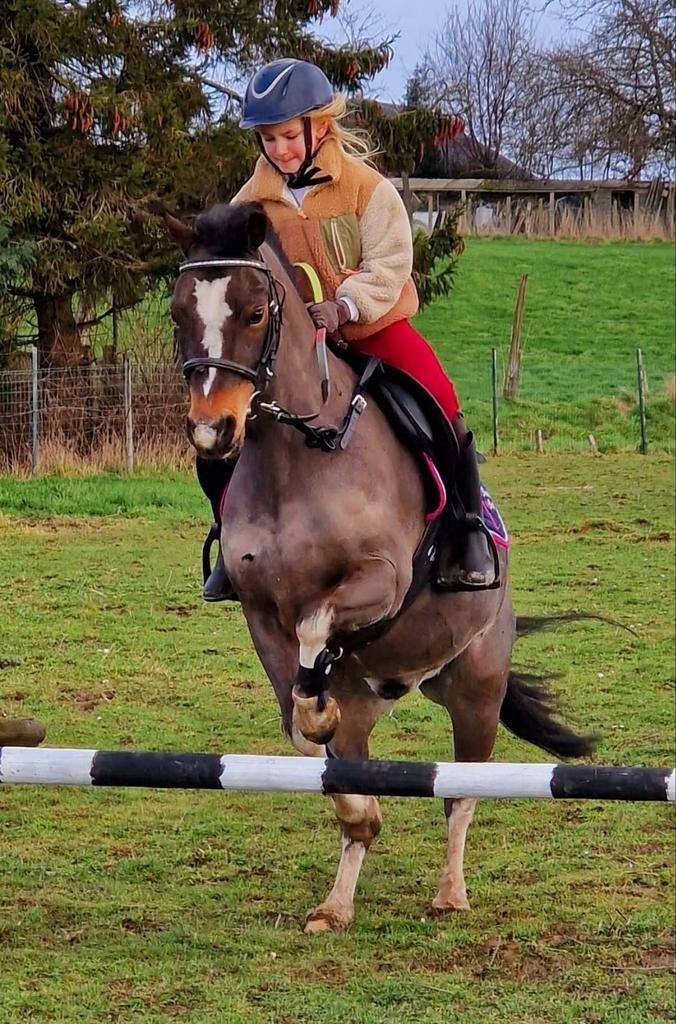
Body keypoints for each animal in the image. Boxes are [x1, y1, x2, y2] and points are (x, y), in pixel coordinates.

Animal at [159, 200, 594, 933]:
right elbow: (304, 731)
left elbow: (316, 627)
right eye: (177, 312)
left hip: (476, 688)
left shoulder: (381, 581)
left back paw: (450, 892)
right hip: (384, 692)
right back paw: (337, 902)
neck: (301, 454)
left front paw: (319, 710)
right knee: (357, 749)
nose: (212, 432)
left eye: (254, 312)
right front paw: (344, 781)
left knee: (462, 793)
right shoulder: (259, 613)